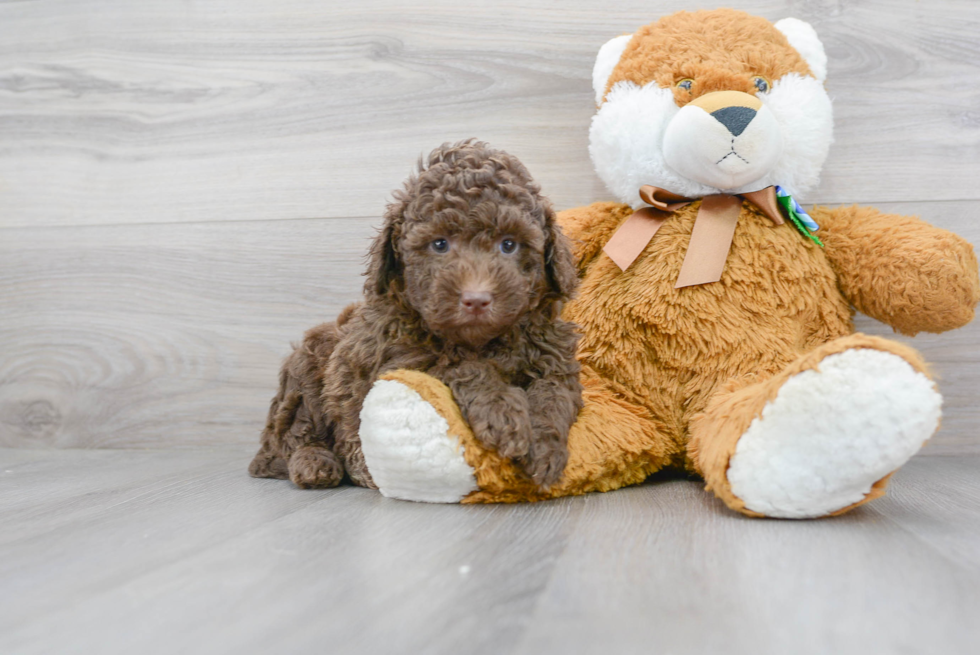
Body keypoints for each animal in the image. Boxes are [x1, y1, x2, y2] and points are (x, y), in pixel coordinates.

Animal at [249, 142, 580, 492]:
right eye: (440, 244)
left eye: (509, 245)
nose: (476, 299)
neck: (481, 342)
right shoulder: (399, 360)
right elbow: (460, 366)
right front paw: (503, 413)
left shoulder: (554, 359)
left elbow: (554, 396)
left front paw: (544, 449)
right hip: (307, 369)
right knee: (294, 434)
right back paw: (317, 464)